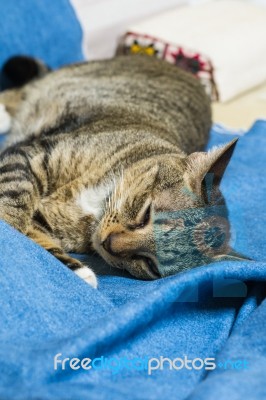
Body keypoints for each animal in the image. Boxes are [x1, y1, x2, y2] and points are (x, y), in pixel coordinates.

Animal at [0, 56, 239, 288]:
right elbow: (16, 199)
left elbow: (37, 238)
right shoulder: (34, 155)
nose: (109, 244)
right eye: (146, 214)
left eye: (150, 264)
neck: (98, 203)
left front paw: (76, 270)